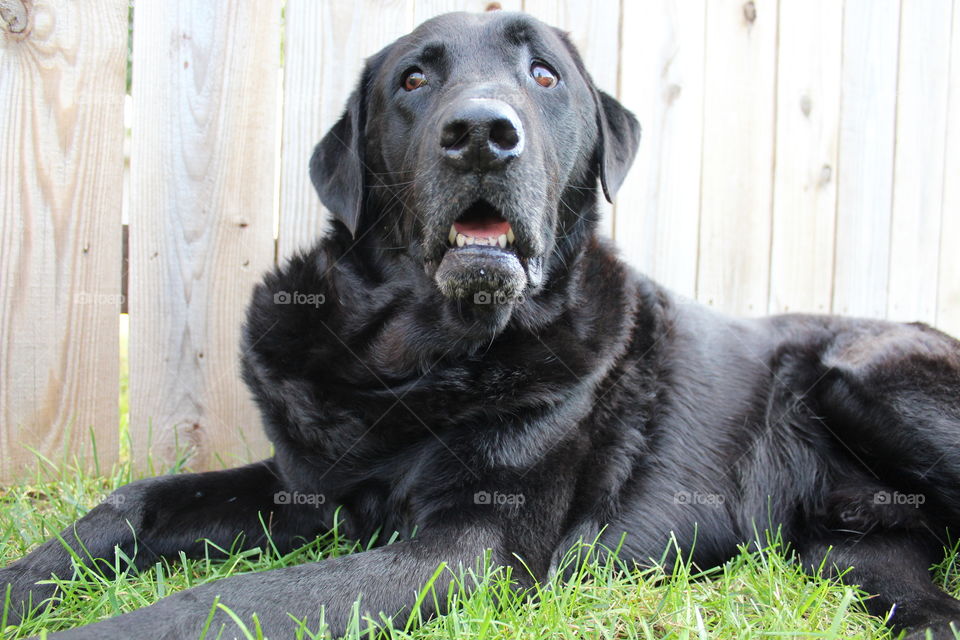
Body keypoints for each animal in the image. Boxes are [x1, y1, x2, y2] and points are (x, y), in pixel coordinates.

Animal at [5, 11, 960, 640]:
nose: (480, 133)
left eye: (544, 77)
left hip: (865, 377)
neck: (411, 361)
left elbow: (225, 602)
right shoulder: (304, 485)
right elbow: (136, 502)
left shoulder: (468, 548)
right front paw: (23, 581)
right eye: (414, 80)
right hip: (847, 546)